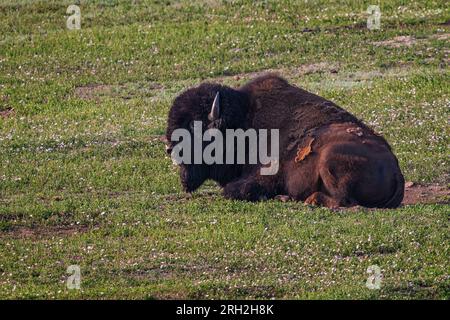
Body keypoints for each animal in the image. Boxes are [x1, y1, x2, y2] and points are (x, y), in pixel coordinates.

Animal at [165, 73, 404, 209]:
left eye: (193, 126)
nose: (170, 149)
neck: (243, 119)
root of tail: (396, 172)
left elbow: (234, 190)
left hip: (329, 159)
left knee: (345, 201)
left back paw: (304, 200)